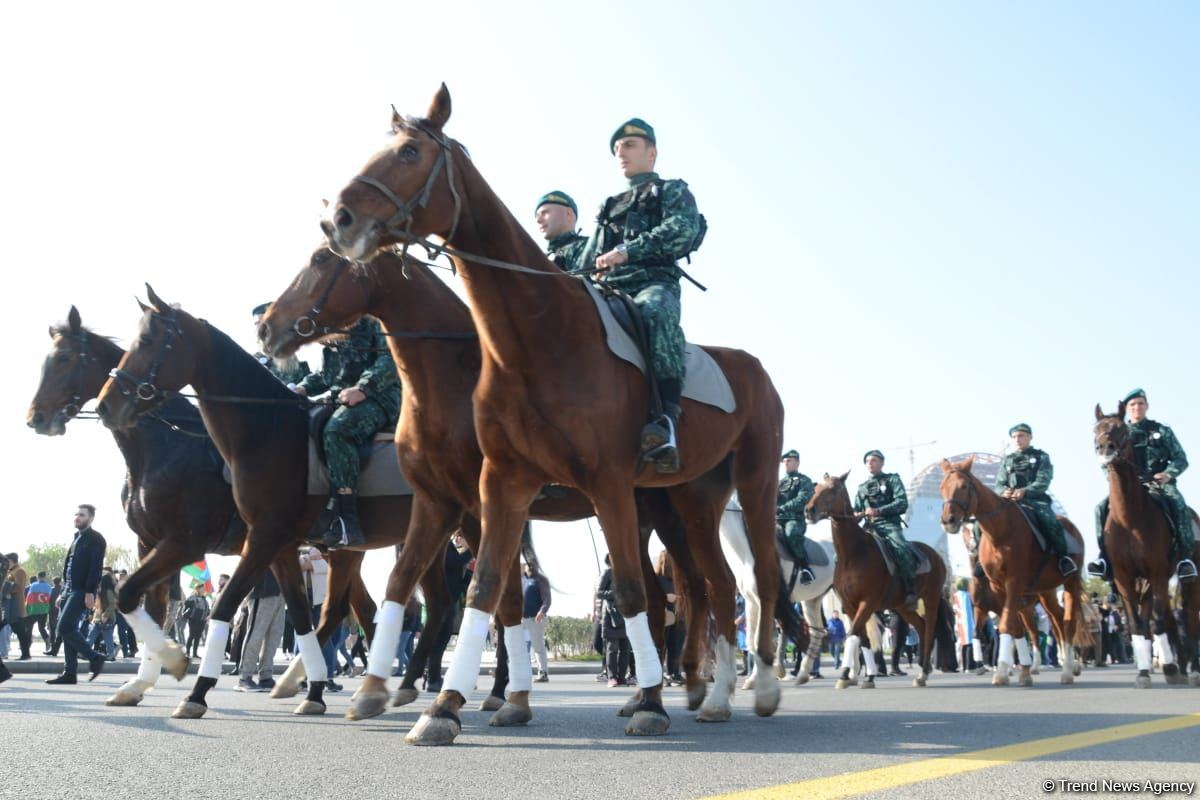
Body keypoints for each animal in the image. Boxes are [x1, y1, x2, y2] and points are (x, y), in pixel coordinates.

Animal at [259, 244, 753, 724]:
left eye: (321, 259)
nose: (268, 328)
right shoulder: (460, 505)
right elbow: (485, 595)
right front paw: (498, 695)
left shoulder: (481, 508)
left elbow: (500, 597)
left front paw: (490, 695)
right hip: (646, 519)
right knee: (674, 591)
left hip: (678, 514)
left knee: (705, 587)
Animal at [319, 84, 787, 743]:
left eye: (409, 152)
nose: (338, 219)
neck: (535, 338)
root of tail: (752, 367)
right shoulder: (500, 483)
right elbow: (487, 588)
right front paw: (446, 707)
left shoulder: (607, 484)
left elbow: (632, 592)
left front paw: (650, 702)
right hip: (692, 499)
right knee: (714, 586)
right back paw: (715, 696)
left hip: (755, 478)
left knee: (759, 578)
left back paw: (758, 686)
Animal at [806, 474, 945, 690]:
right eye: (816, 488)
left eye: (833, 490)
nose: (809, 510)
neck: (852, 553)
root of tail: (936, 556)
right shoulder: (850, 605)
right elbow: (861, 639)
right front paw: (864, 676)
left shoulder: (868, 602)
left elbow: (852, 634)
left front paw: (849, 675)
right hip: (903, 607)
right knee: (921, 628)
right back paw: (923, 671)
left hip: (931, 599)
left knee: (929, 630)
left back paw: (923, 673)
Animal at [936, 455, 1089, 690]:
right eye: (941, 487)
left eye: (963, 486)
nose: (948, 521)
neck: (999, 532)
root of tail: (1071, 527)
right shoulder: (998, 592)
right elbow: (1010, 629)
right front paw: (1019, 672)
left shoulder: (1014, 583)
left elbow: (1007, 626)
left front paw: (1001, 673)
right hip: (1046, 592)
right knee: (1056, 620)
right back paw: (1065, 665)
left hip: (1070, 582)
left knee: (1068, 622)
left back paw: (1067, 671)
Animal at [1094, 407, 1195, 690]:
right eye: (1096, 428)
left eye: (1121, 429)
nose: (1104, 448)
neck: (1130, 518)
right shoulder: (1125, 578)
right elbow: (1138, 624)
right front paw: (1143, 673)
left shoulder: (1157, 573)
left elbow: (1157, 621)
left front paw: (1168, 668)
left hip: (1187, 580)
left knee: (1188, 618)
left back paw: (1189, 669)